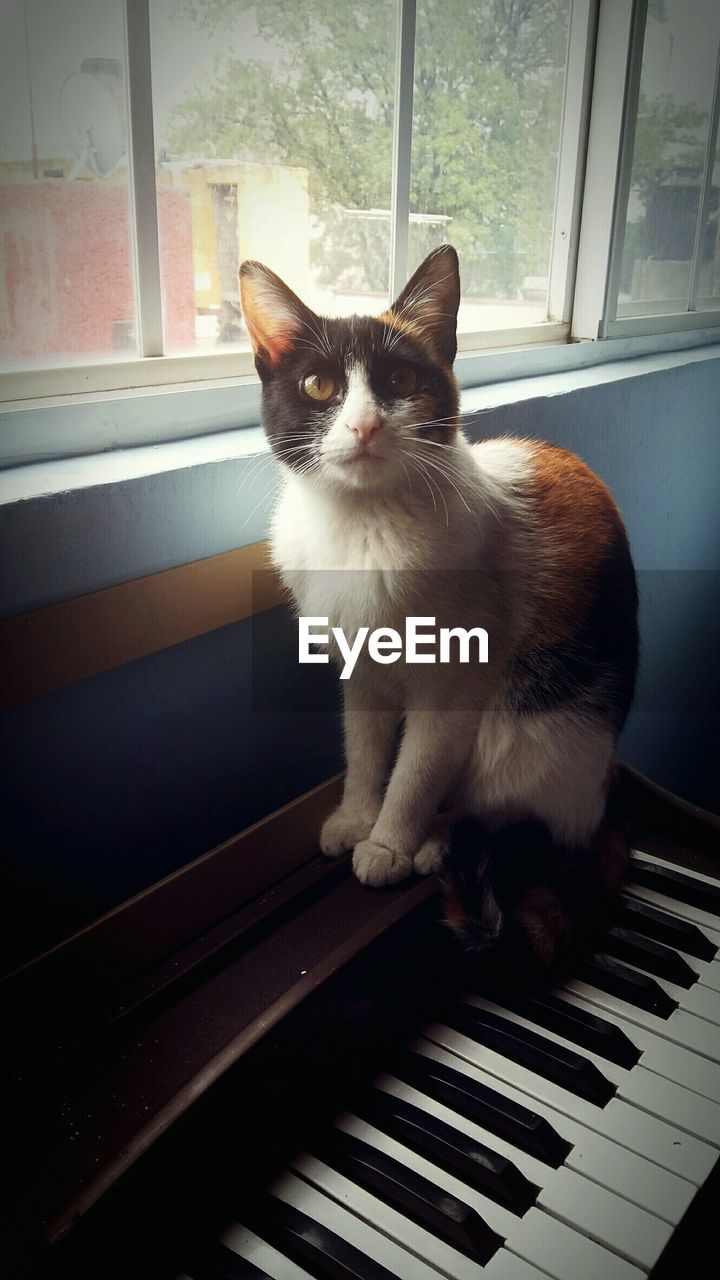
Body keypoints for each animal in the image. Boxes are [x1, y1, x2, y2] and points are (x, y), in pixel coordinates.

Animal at [238, 247, 635, 967]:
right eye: (318, 387)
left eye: (400, 379)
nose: (365, 424)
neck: (362, 526)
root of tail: (604, 787)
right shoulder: (361, 667)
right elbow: (366, 746)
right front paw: (357, 815)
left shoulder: (456, 680)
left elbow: (419, 766)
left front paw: (390, 841)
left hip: (533, 724)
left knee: (505, 800)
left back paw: (437, 840)